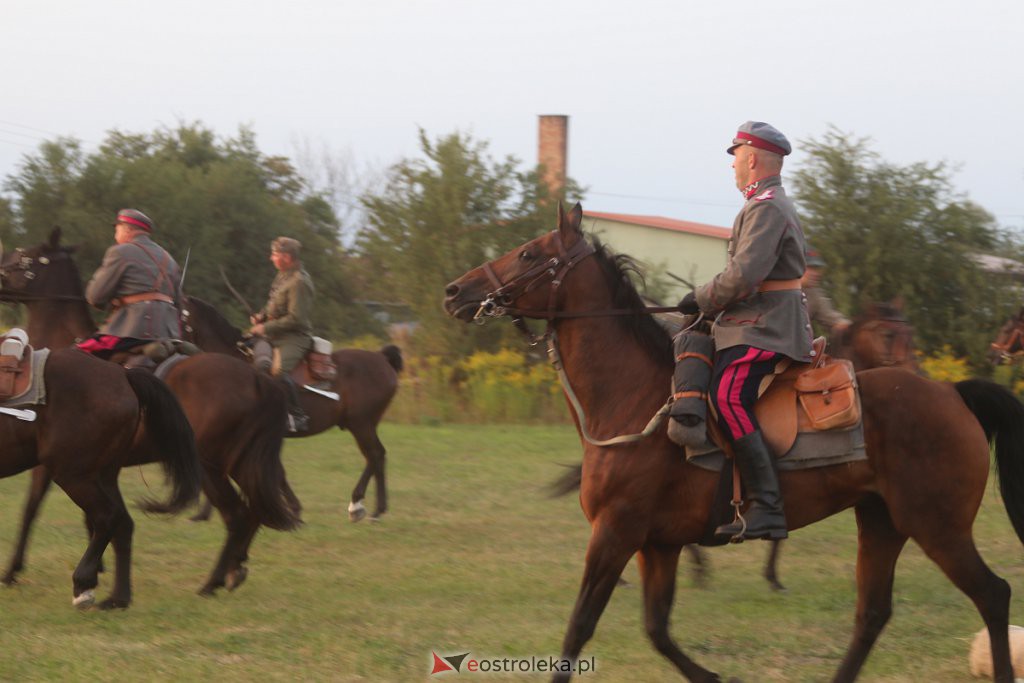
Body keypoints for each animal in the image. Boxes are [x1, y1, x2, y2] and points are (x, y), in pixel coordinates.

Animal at [0, 348, 201, 610]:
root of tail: (122, 374)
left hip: (74, 475)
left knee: (108, 516)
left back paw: (84, 583)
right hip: (103, 475)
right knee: (123, 524)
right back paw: (118, 598)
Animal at [442, 202, 1024, 683]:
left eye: (528, 253)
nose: (455, 292)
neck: (632, 398)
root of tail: (950, 392)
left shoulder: (616, 531)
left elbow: (579, 628)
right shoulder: (658, 545)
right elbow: (657, 629)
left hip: (937, 526)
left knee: (992, 594)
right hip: (882, 521)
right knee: (873, 612)